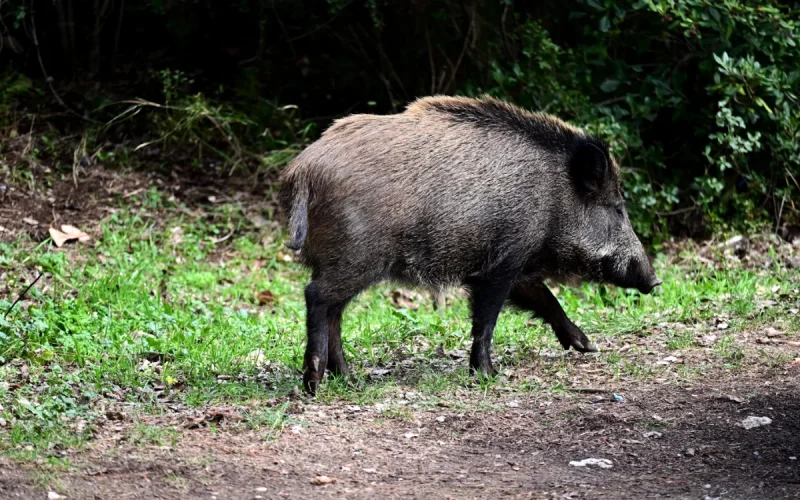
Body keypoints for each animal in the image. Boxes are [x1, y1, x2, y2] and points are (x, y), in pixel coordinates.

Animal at [279, 95, 662, 395]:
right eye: (617, 208)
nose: (655, 280)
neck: (554, 199)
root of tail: (302, 169)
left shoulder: (516, 264)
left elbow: (545, 299)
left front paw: (586, 346)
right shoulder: (502, 261)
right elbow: (487, 318)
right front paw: (489, 374)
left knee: (334, 311)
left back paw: (348, 378)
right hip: (357, 256)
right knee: (317, 297)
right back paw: (314, 383)